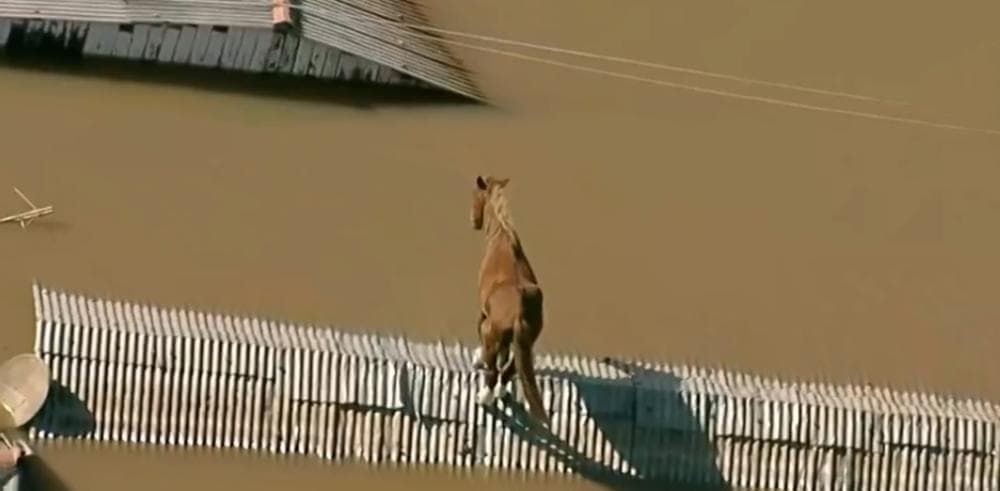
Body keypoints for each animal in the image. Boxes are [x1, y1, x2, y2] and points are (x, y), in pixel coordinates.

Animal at [470, 175, 549, 425]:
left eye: (475, 196)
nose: (473, 221)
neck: (501, 237)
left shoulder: (483, 314)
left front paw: (477, 358)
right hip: (527, 340)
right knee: (509, 370)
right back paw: (500, 393)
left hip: (494, 335)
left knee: (495, 372)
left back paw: (483, 398)